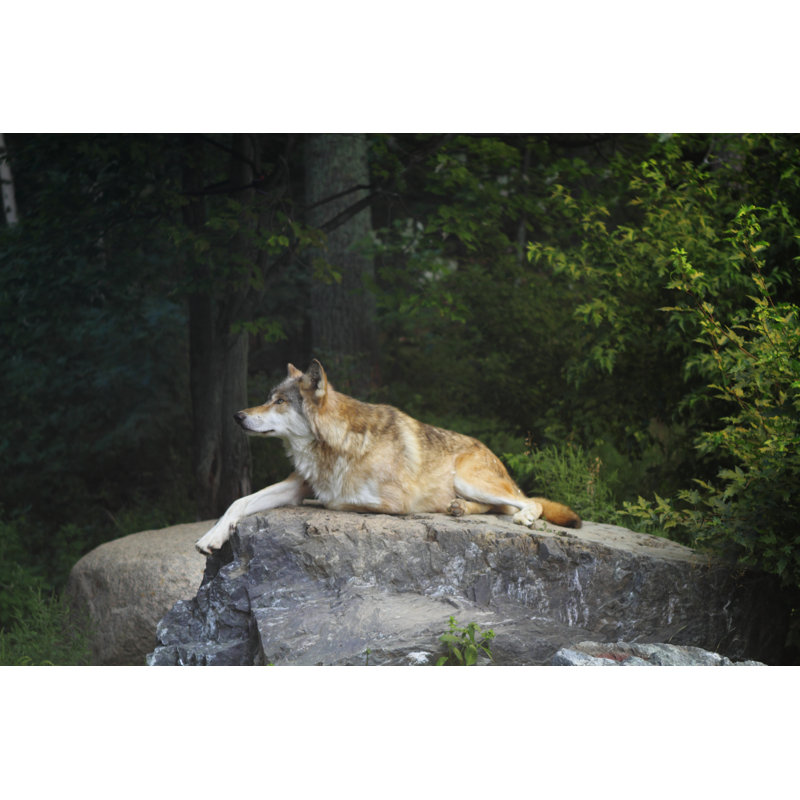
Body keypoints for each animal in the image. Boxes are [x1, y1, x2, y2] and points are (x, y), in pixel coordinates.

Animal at [195, 360, 581, 554]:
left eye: (279, 402)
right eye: (268, 398)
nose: (237, 416)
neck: (337, 444)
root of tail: (490, 452)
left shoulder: (395, 502)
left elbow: (333, 501)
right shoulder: (296, 486)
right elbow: (239, 501)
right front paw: (212, 537)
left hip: (469, 477)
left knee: (529, 502)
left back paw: (523, 516)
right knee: (501, 506)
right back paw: (458, 509)